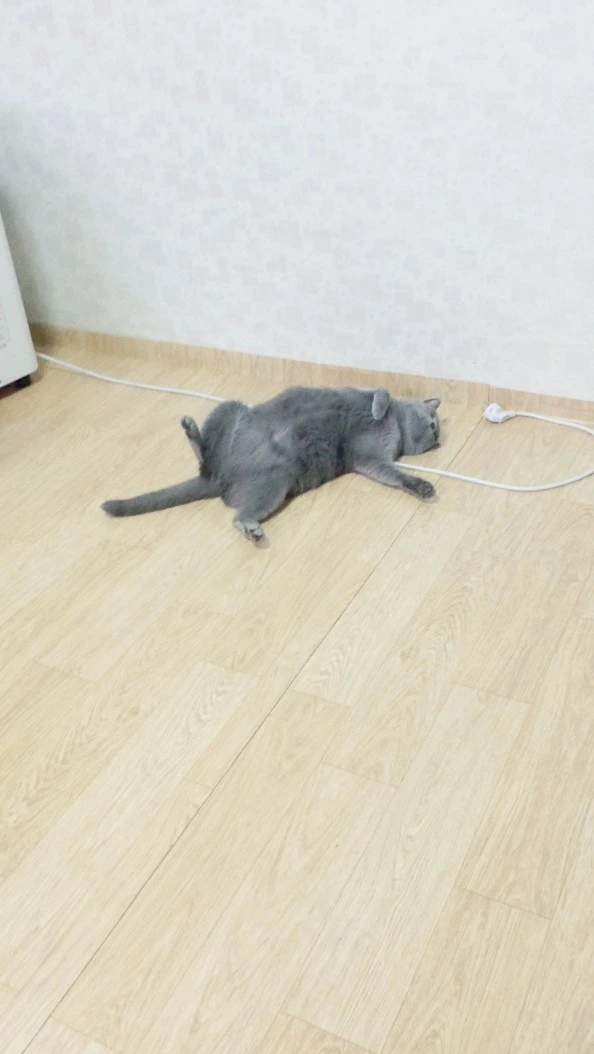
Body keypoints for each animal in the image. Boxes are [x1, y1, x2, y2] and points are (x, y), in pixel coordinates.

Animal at [102, 386, 441, 542]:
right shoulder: (363, 405)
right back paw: (190, 429)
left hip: (274, 483)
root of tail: (219, 478)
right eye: (432, 420)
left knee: (238, 512)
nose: (436, 432)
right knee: (204, 456)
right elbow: (381, 393)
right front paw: (378, 408)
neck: (395, 429)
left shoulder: (370, 459)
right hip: (231, 409)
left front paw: (421, 486)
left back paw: (250, 528)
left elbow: (395, 475)